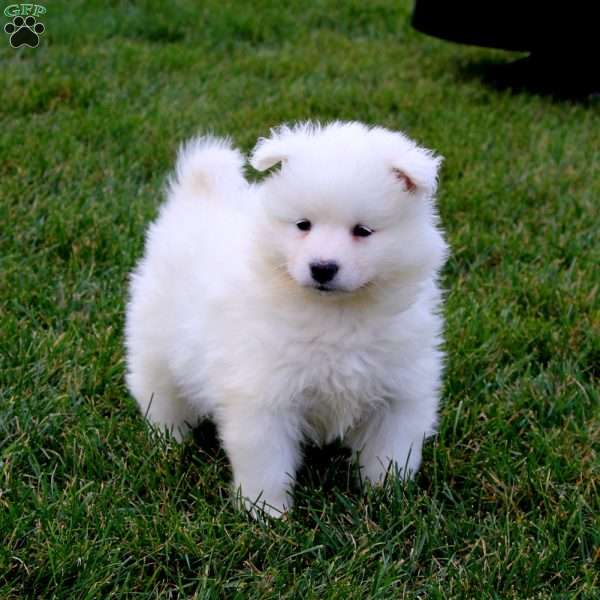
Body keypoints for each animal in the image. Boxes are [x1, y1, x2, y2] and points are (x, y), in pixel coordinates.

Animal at [125, 122, 446, 516]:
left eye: (363, 231)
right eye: (303, 225)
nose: (322, 267)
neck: (337, 315)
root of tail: (200, 195)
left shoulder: (399, 392)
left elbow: (390, 452)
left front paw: (388, 499)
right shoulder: (263, 396)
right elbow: (267, 462)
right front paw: (266, 513)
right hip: (156, 341)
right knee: (158, 392)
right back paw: (168, 441)